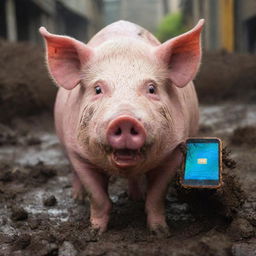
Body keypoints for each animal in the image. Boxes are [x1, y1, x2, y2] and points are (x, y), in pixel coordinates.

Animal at [39, 19, 204, 237]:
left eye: (152, 88)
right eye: (97, 89)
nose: (125, 119)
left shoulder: (174, 151)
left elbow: (156, 197)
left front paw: (161, 232)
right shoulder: (78, 154)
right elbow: (98, 198)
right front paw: (95, 233)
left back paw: (136, 197)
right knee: (75, 174)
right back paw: (77, 198)